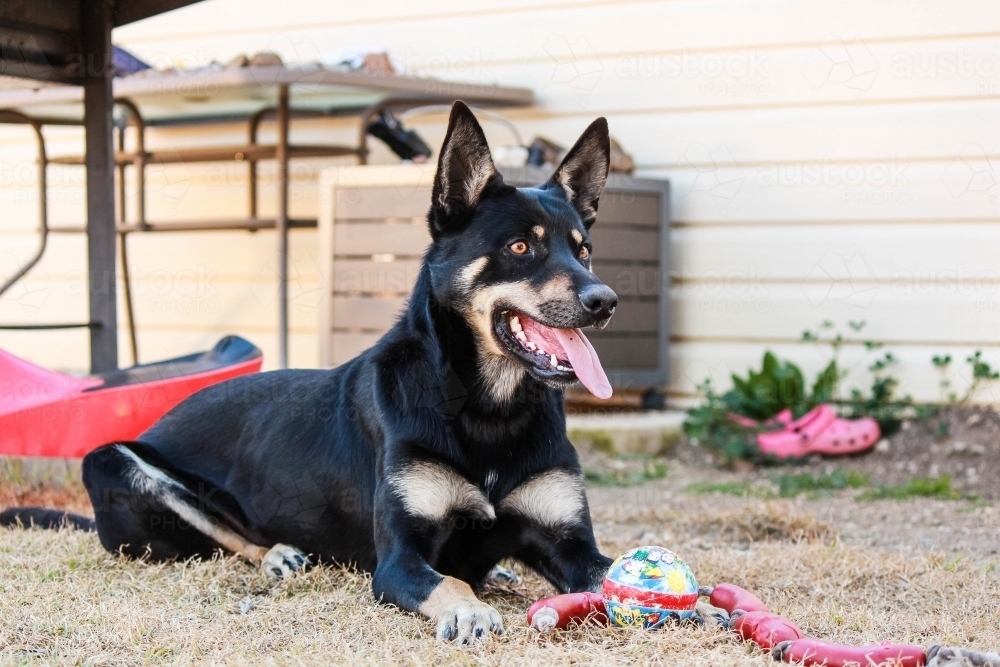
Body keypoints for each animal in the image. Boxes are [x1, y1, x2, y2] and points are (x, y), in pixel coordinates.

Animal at [3, 103, 620, 640]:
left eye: (584, 250)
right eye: (519, 247)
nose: (605, 301)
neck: (488, 406)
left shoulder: (571, 545)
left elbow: (614, 572)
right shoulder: (399, 560)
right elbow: (447, 581)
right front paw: (469, 611)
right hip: (115, 462)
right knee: (232, 538)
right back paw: (277, 554)